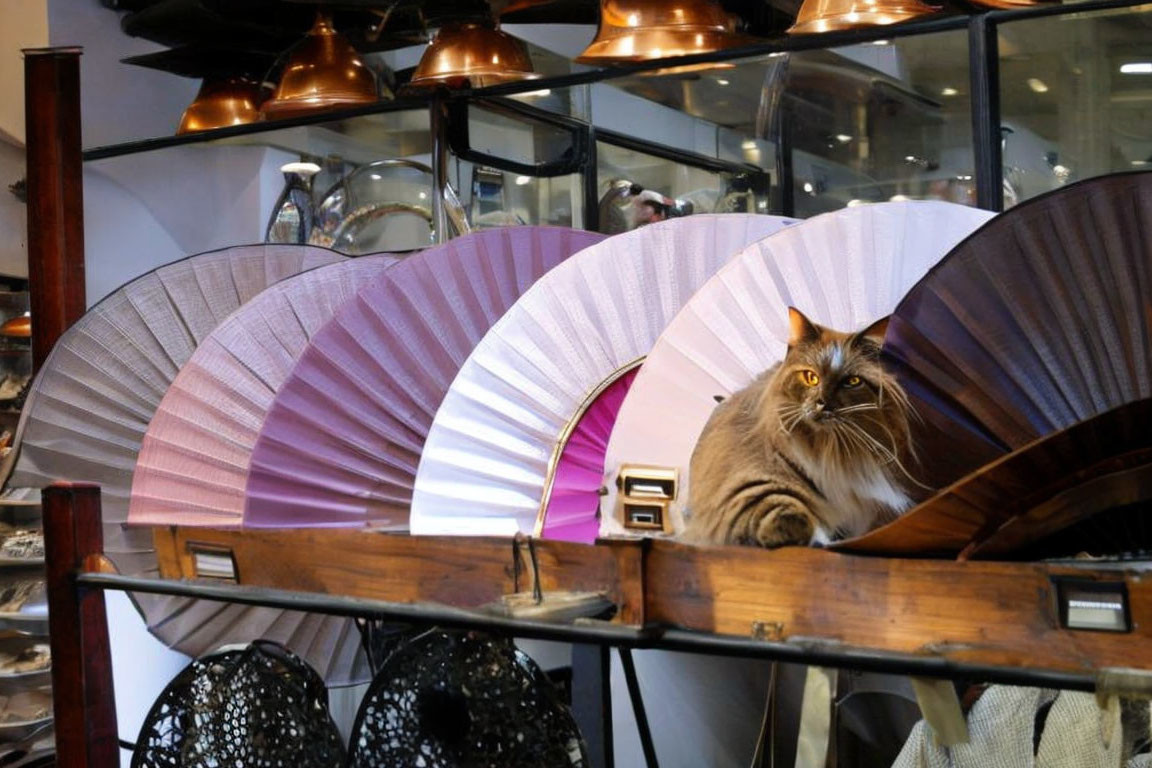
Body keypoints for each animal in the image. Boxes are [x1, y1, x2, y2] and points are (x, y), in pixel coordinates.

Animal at [681, 306, 916, 545]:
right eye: (811, 377)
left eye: (852, 382)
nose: (823, 403)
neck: (827, 450)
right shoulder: (747, 492)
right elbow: (791, 518)